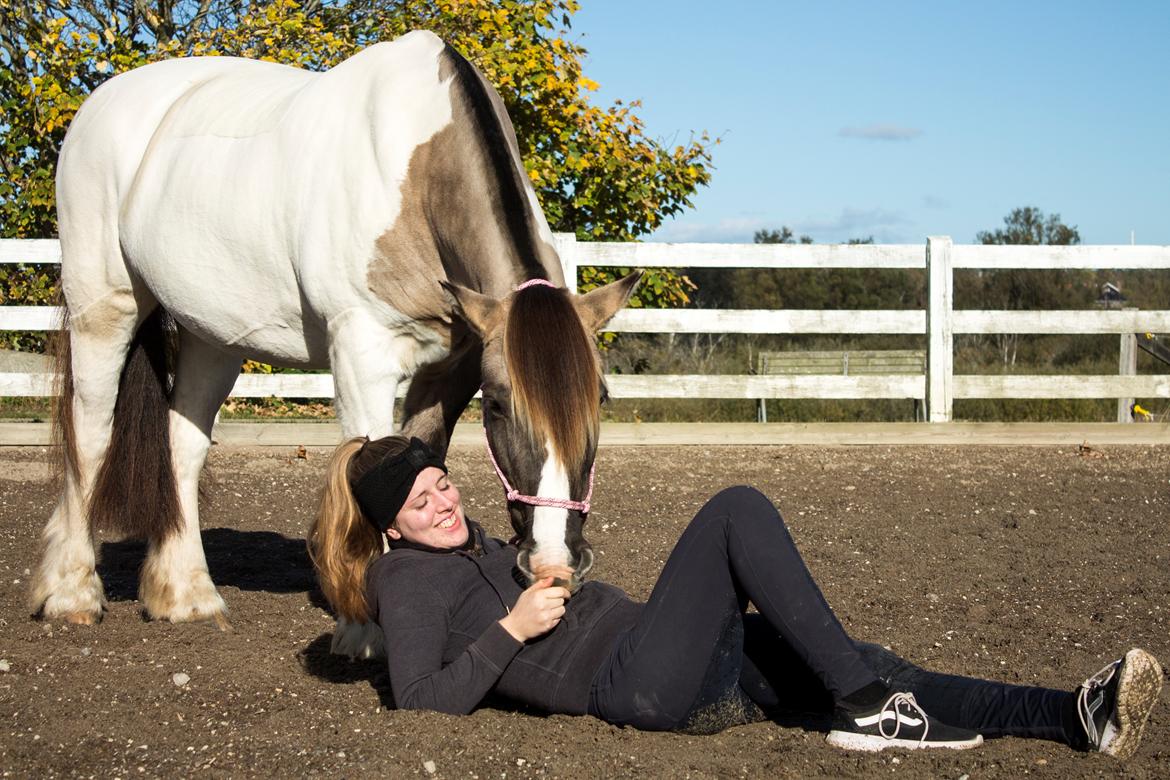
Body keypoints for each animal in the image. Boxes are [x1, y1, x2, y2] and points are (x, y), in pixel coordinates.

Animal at [32, 28, 641, 640]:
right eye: (495, 405)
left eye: (601, 398)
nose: (554, 563)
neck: (416, 178)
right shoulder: (362, 358)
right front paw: (367, 633)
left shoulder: (448, 372)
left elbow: (419, 457)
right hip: (105, 307)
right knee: (90, 434)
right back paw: (71, 592)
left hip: (212, 338)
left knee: (184, 448)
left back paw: (186, 595)